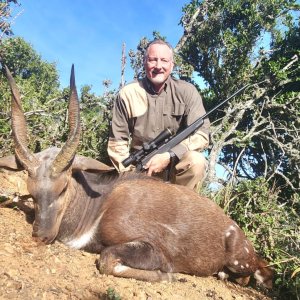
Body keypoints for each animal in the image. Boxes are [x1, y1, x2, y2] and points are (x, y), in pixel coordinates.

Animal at [0, 65, 272, 288]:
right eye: (32, 192)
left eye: (63, 187)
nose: (41, 236)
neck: (100, 203)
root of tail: (237, 232)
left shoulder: (151, 248)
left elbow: (107, 259)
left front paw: (168, 276)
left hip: (241, 261)